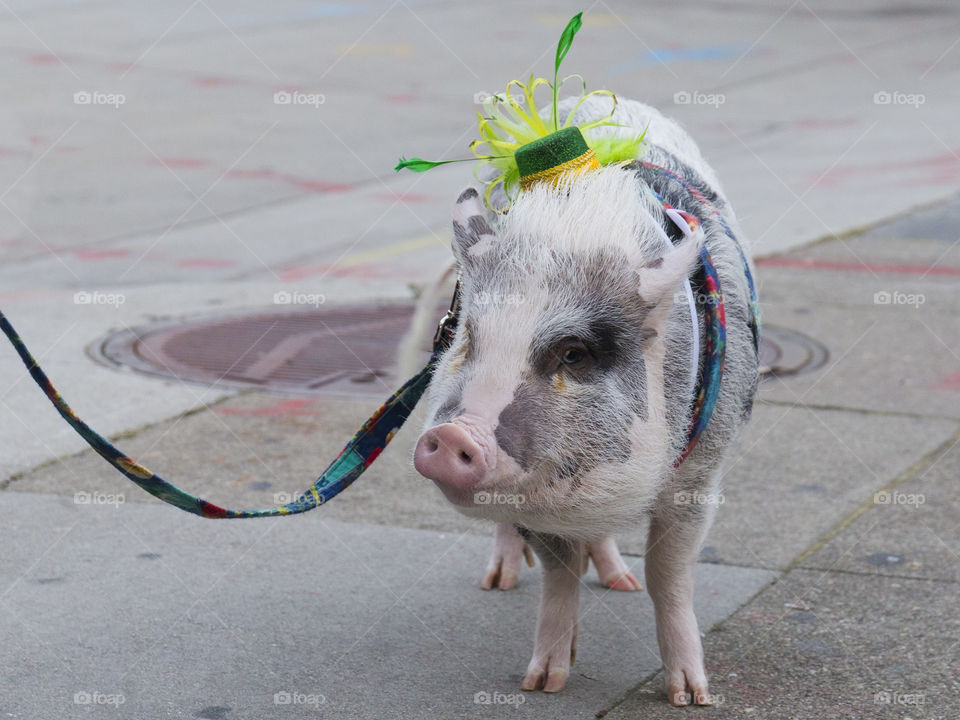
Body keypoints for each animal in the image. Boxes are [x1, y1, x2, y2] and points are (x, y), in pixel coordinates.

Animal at [412, 94, 756, 704]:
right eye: (468, 335)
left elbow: (669, 574)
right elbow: (558, 569)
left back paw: (619, 582)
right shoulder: (538, 498)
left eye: (573, 354)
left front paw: (690, 696)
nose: (452, 435)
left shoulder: (701, 472)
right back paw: (499, 581)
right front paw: (543, 683)